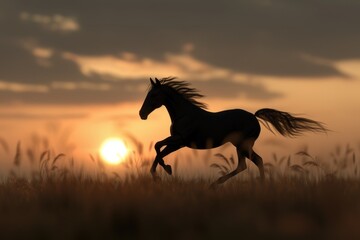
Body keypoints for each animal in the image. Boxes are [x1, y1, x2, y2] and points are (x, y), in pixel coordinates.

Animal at [139, 77, 326, 186]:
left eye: (153, 95)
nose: (142, 114)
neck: (184, 114)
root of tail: (254, 116)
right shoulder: (178, 142)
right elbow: (158, 150)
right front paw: (162, 171)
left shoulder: (180, 140)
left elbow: (157, 147)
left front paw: (164, 171)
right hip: (242, 145)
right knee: (255, 161)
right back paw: (259, 185)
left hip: (242, 145)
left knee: (246, 164)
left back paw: (216, 184)